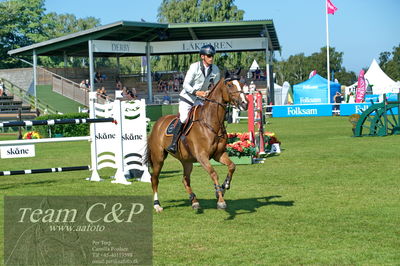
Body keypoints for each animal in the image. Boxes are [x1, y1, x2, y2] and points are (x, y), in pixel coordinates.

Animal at [147, 70, 247, 212]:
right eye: (229, 85)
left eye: (241, 84)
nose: (244, 103)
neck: (211, 123)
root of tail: (158, 123)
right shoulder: (202, 156)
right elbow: (214, 174)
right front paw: (220, 200)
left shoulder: (218, 154)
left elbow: (232, 166)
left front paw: (224, 187)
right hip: (158, 158)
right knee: (154, 179)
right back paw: (157, 205)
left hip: (186, 161)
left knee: (185, 180)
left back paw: (194, 201)